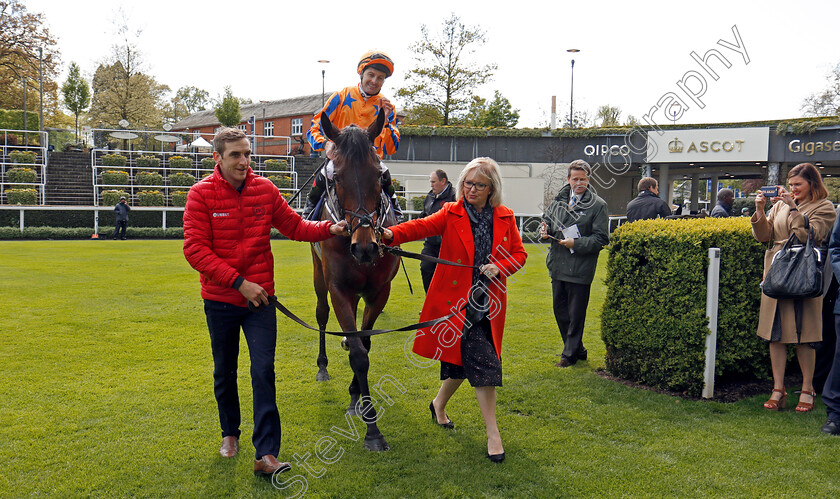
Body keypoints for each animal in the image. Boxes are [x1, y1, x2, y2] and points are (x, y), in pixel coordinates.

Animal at [310, 110, 398, 454]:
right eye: (336, 177)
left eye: (379, 176)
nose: (364, 247)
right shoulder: (339, 289)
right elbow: (360, 355)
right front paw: (372, 430)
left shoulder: (379, 291)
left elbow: (366, 342)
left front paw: (355, 395)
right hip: (319, 276)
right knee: (321, 315)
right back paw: (322, 366)